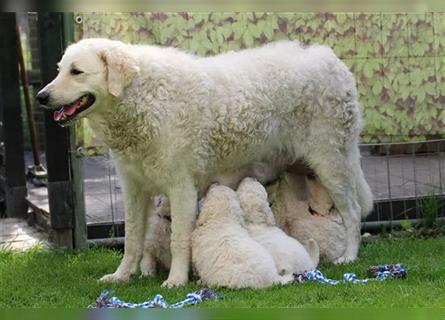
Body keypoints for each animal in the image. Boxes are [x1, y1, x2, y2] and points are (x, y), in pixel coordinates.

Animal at [37, 38, 372, 286]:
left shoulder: (181, 187)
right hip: (299, 174)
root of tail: (334, 61)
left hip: (331, 164)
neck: (141, 98)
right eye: (60, 70)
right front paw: (122, 276)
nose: (41, 96)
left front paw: (175, 280)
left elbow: (178, 240)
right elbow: (132, 239)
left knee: (353, 212)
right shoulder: (134, 189)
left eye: (76, 72)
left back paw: (348, 256)